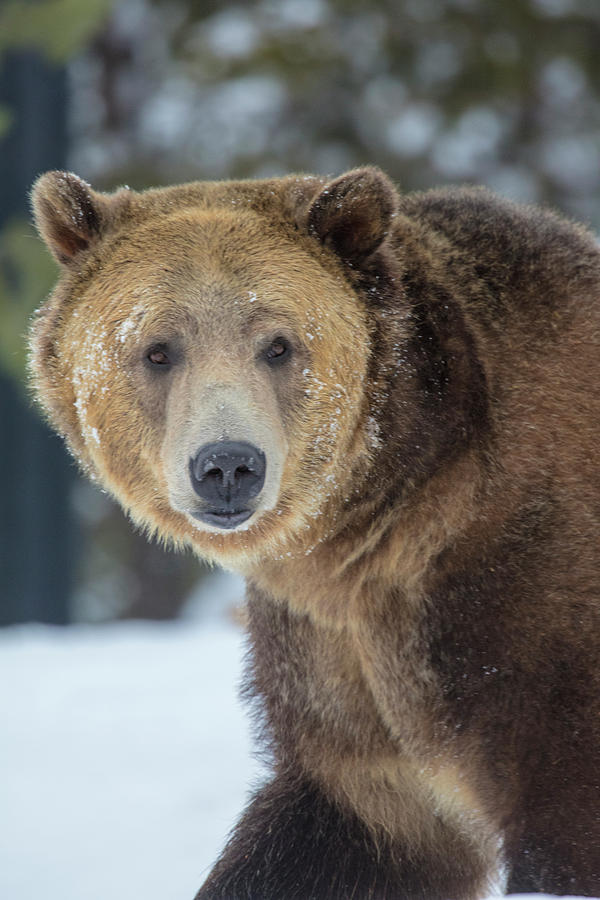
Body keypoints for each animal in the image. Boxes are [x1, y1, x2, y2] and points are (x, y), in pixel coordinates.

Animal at [29, 165, 600, 896]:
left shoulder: (520, 597)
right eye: (158, 350)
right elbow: (341, 835)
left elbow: (563, 811)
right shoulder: (332, 664)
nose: (228, 465)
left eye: (278, 344)